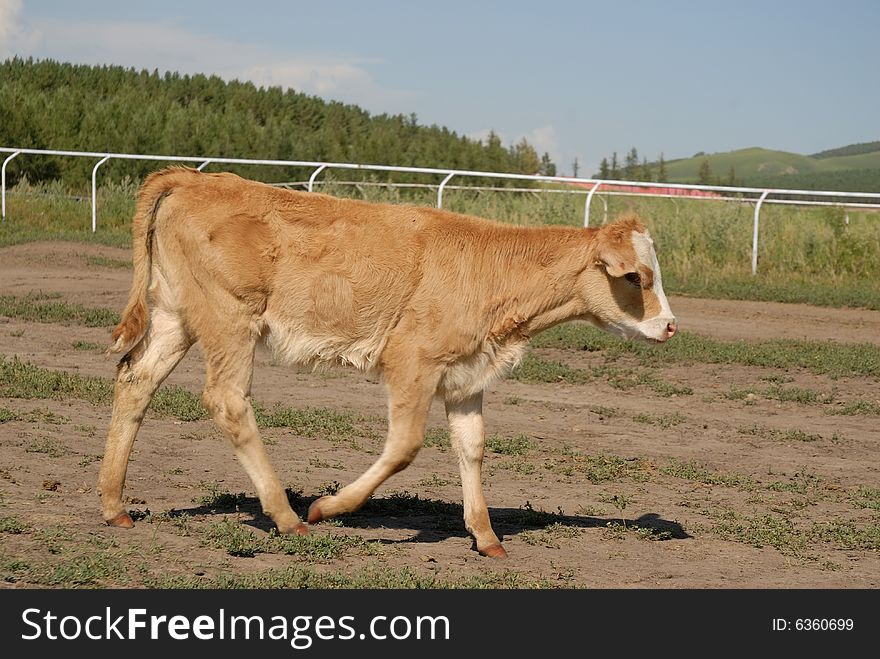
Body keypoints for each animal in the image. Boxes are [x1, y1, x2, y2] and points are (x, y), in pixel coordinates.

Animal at [101, 168, 680, 560]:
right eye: (635, 277)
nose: (672, 325)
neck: (490, 270)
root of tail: (193, 177)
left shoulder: (467, 375)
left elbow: (472, 448)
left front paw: (486, 535)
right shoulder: (412, 361)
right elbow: (404, 447)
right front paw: (328, 507)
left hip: (177, 316)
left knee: (136, 379)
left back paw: (113, 504)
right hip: (230, 321)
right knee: (227, 401)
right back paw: (288, 516)